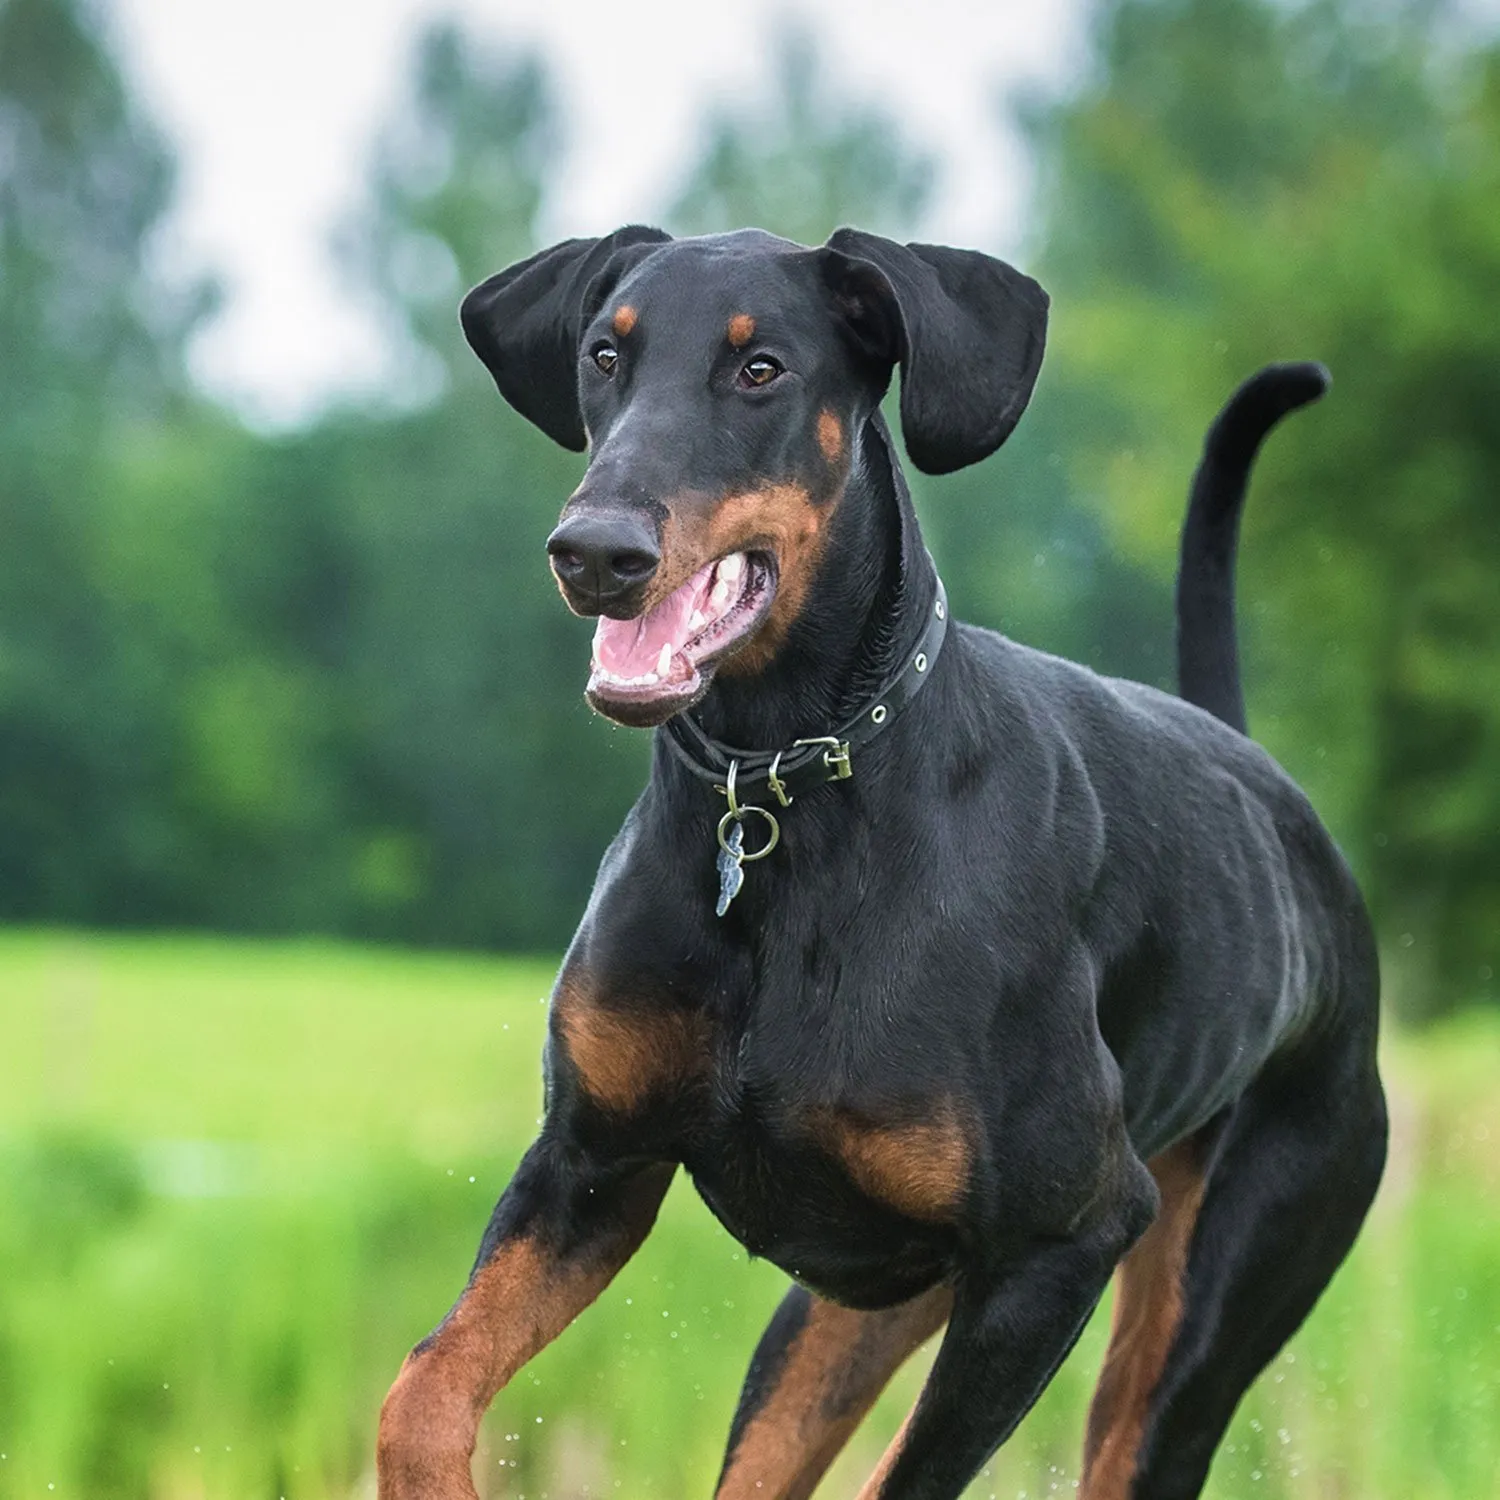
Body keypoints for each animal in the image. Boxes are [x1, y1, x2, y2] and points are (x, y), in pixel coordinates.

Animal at [375, 225, 1380, 1500]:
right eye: (605, 354)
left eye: (761, 370)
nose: (595, 551)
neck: (776, 806)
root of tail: (1280, 804)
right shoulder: (589, 1165)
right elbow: (422, 1388)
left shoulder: (1067, 1240)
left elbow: (909, 1477)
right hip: (848, 1316)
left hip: (1199, 1320)